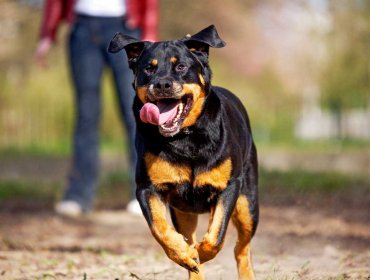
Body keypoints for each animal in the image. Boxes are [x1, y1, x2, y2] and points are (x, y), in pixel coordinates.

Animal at [108, 25, 258, 278]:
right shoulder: (148, 188)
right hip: (183, 211)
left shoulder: (229, 186)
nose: (162, 84)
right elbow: (160, 228)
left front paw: (201, 252)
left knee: (242, 248)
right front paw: (185, 254)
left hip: (248, 203)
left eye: (181, 67)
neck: (185, 137)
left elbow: (216, 236)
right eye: (148, 68)